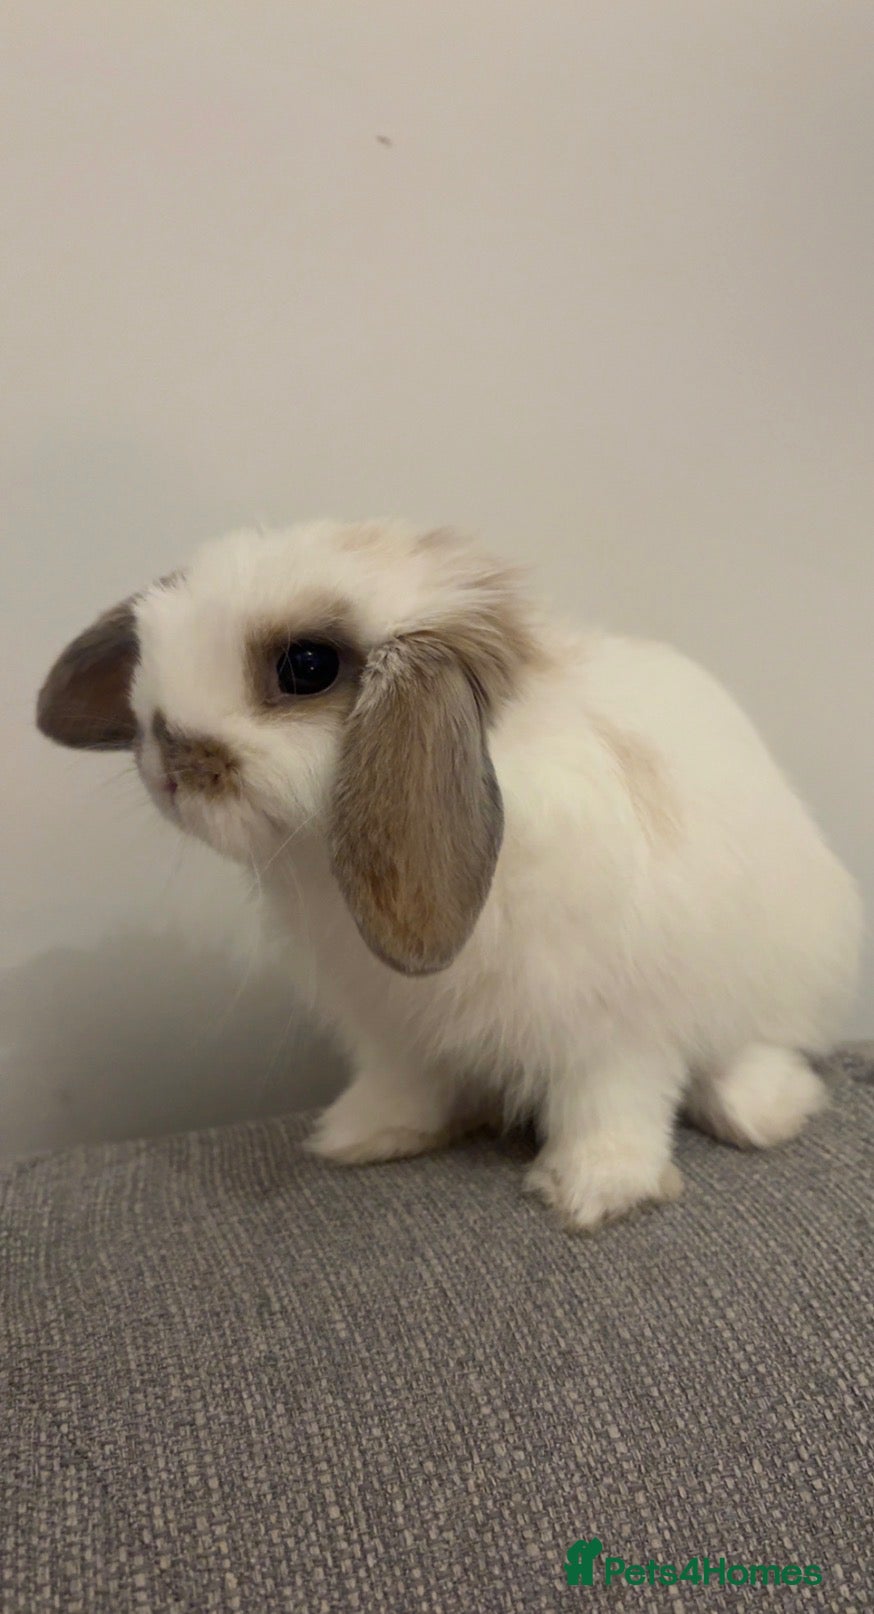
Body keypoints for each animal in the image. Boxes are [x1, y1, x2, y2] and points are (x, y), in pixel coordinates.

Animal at [36, 520, 862, 1231]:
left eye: (307, 666)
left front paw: (590, 1192)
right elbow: (407, 1086)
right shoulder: (397, 1030)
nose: (164, 754)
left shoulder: (618, 1032)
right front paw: (361, 1135)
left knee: (759, 1053)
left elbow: (610, 1109)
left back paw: (763, 1107)